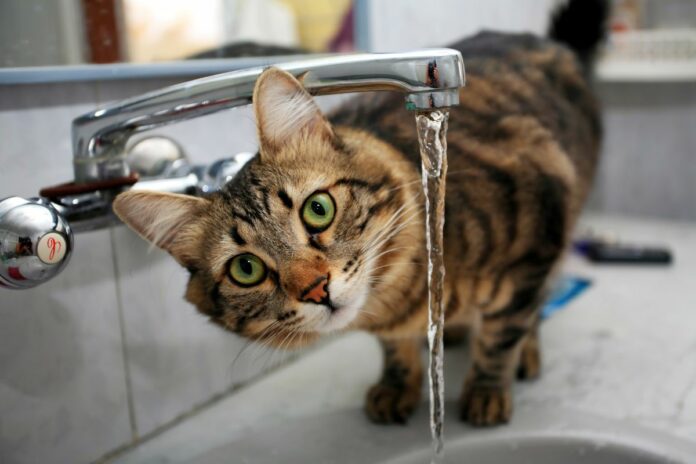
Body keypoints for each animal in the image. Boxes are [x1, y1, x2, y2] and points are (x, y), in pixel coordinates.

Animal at [114, 0, 608, 426]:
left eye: (318, 210)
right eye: (247, 269)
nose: (316, 289)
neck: (401, 300)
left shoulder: (541, 226)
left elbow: (502, 333)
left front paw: (485, 391)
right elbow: (396, 350)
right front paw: (398, 384)